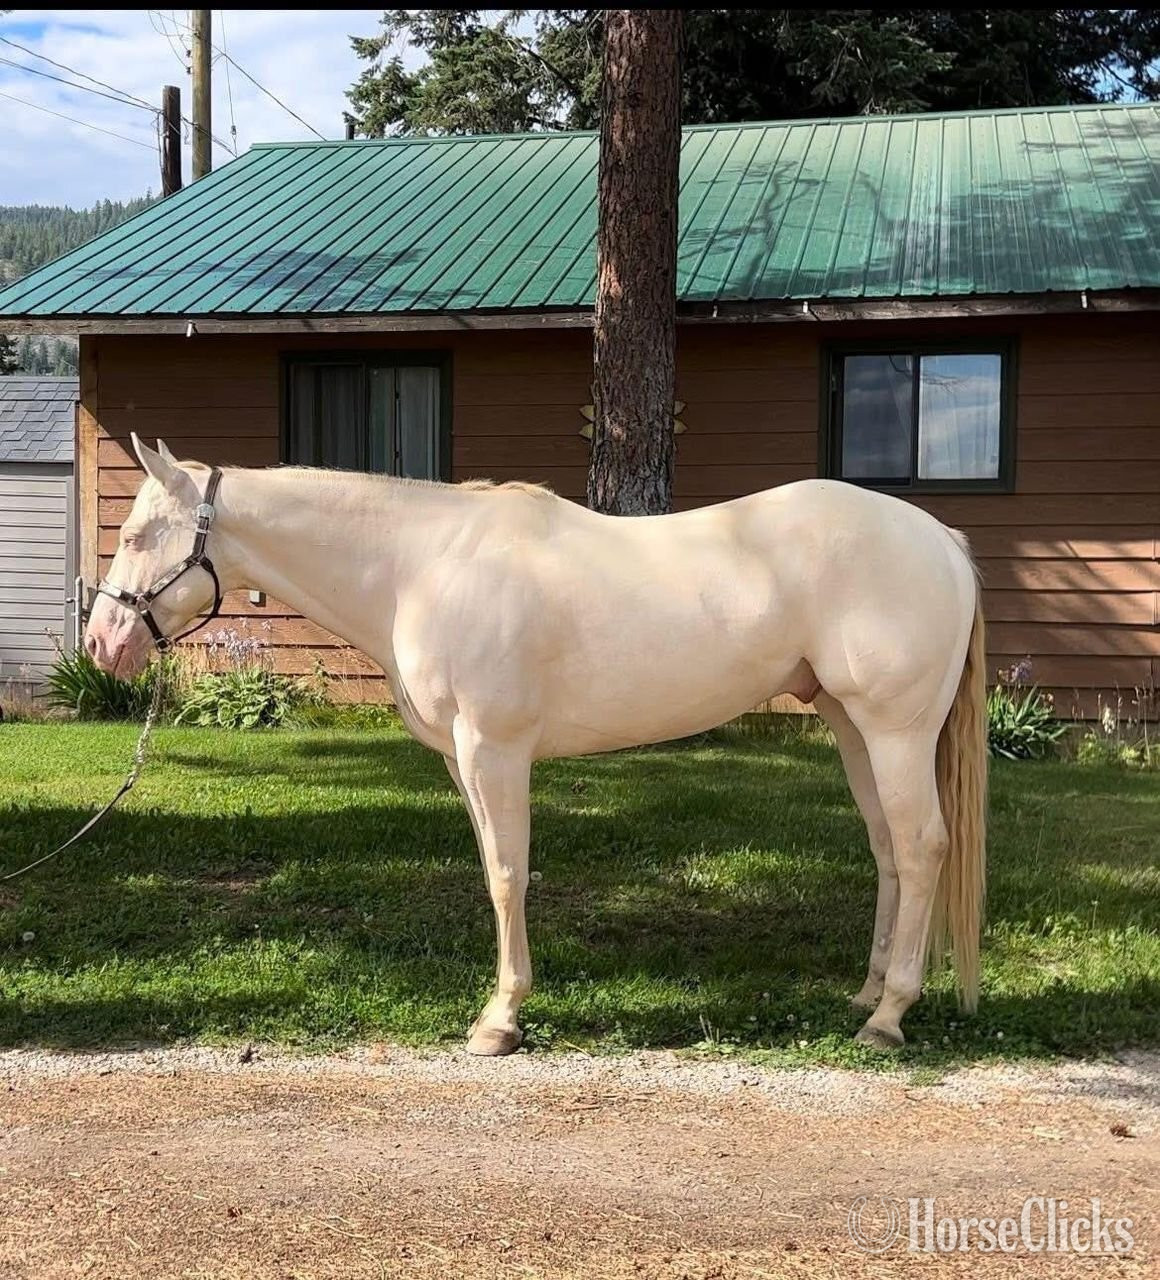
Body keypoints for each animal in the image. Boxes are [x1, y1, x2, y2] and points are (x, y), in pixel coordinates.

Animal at [86, 435, 986, 1055]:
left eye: (136, 537)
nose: (100, 643)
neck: (422, 566)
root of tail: (941, 539)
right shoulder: (463, 760)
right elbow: (495, 870)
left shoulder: (495, 749)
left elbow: (508, 876)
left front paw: (500, 1020)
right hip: (850, 727)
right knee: (888, 850)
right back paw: (866, 995)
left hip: (895, 731)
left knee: (922, 846)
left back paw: (890, 1016)